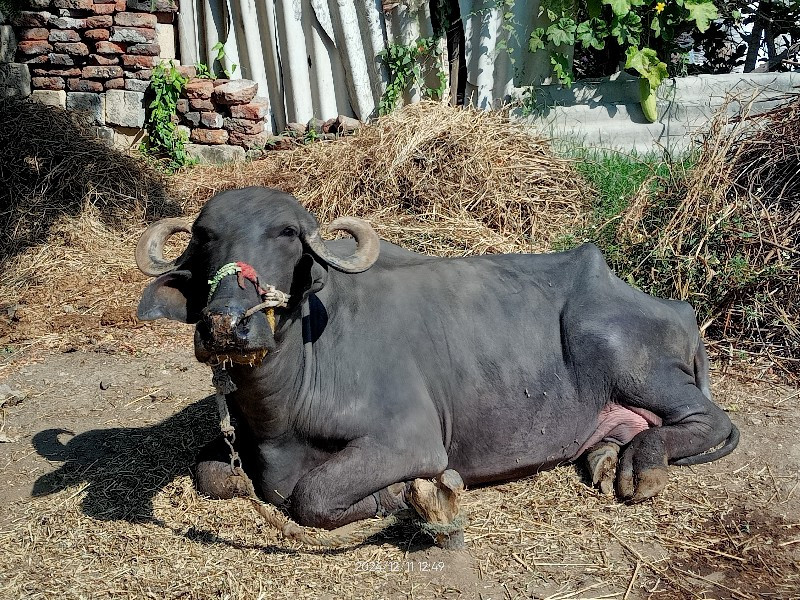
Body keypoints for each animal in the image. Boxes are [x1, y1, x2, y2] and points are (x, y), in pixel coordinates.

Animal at [136, 186, 736, 528]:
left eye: (286, 234)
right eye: (204, 236)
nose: (226, 325)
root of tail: (675, 306)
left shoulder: (413, 439)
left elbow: (311, 494)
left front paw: (399, 498)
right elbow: (213, 474)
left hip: (621, 352)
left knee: (710, 420)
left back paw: (643, 465)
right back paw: (607, 457)